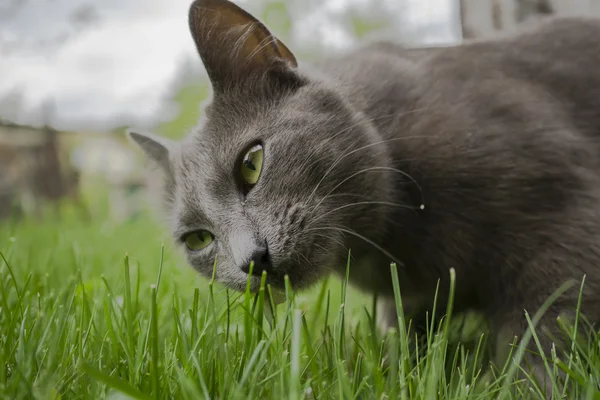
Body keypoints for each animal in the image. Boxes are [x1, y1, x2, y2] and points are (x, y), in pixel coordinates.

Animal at [129, 0, 600, 394]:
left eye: (251, 163)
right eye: (199, 240)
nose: (252, 260)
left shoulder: (565, 215)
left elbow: (550, 326)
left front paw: (528, 387)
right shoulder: (409, 295)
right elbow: (402, 337)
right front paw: (398, 373)